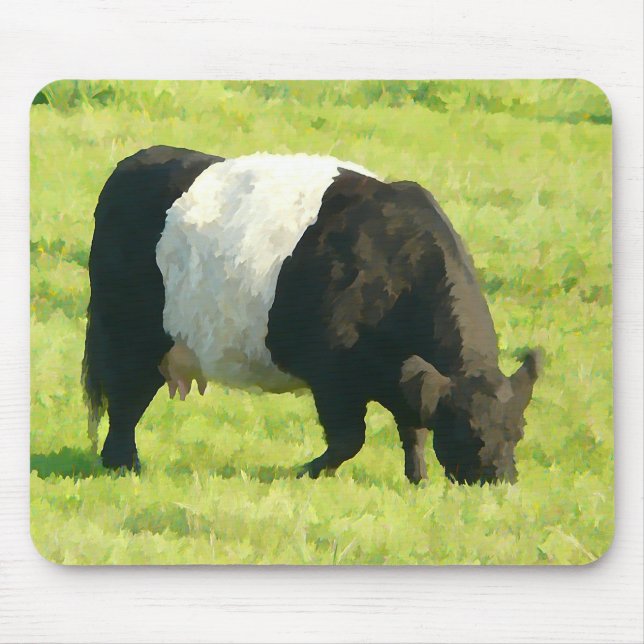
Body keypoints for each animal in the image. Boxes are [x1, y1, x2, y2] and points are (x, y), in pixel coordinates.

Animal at [82, 145, 540, 485]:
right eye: (470, 431)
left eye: (518, 431)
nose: (498, 480)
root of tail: (133, 162)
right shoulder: (332, 374)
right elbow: (348, 440)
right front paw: (305, 471)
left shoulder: (401, 375)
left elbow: (413, 429)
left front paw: (418, 479)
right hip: (127, 331)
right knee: (124, 399)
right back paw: (123, 464)